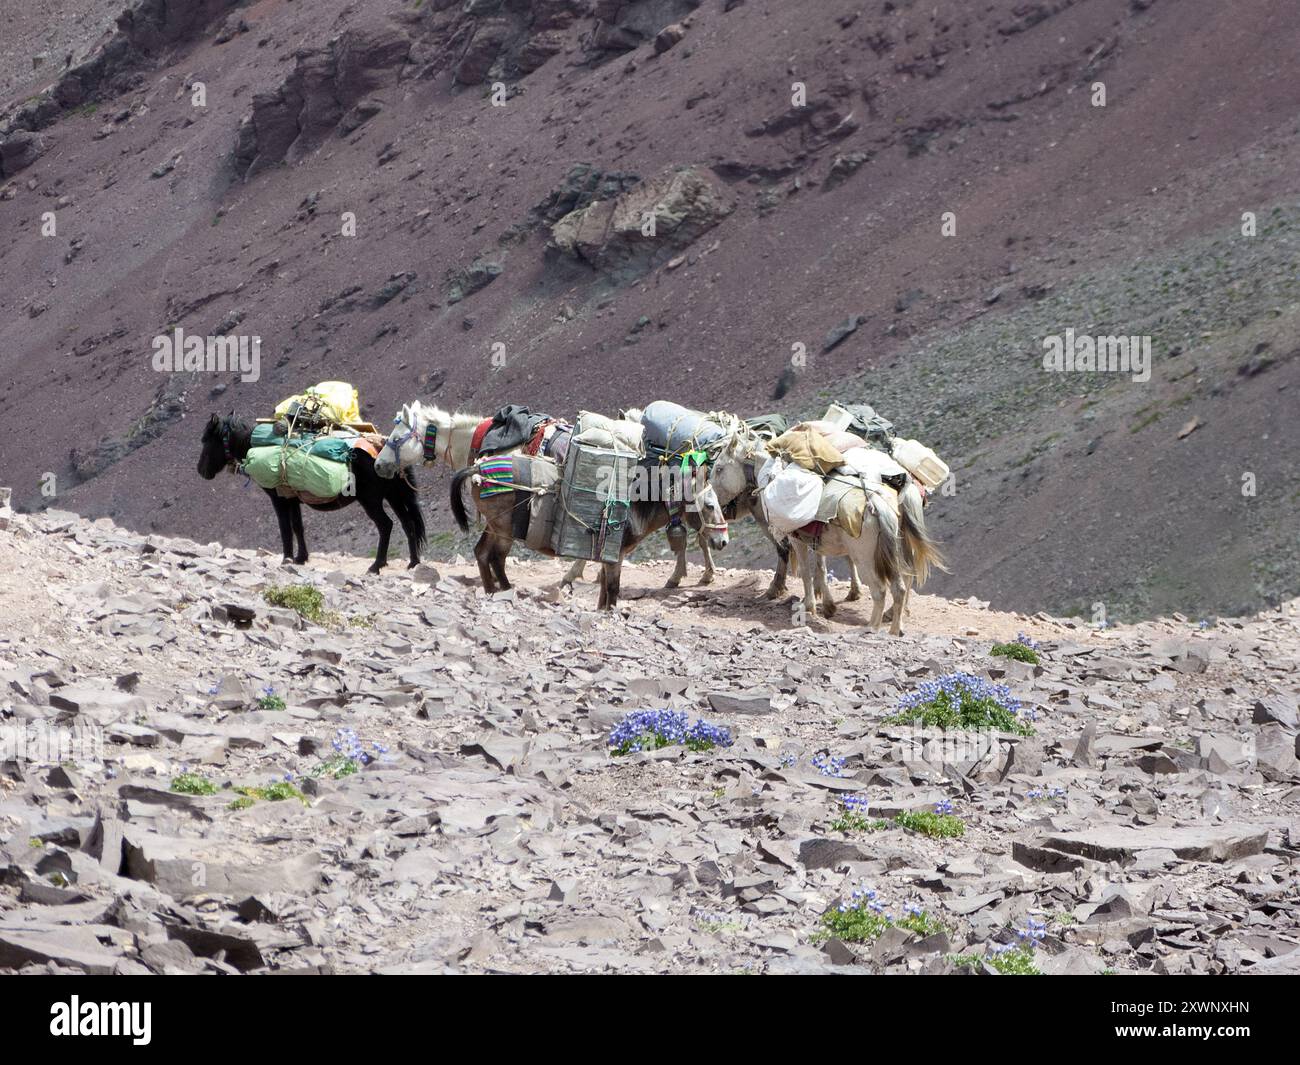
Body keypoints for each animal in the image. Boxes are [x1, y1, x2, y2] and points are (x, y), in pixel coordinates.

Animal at [195, 413, 426, 574]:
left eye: (206, 440)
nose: (201, 471)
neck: (253, 443)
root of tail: (384, 447)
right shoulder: (292, 499)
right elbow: (298, 527)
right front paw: (301, 558)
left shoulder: (279, 499)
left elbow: (285, 529)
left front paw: (287, 558)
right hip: (394, 496)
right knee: (408, 524)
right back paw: (413, 563)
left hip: (371, 500)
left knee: (386, 525)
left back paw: (376, 566)